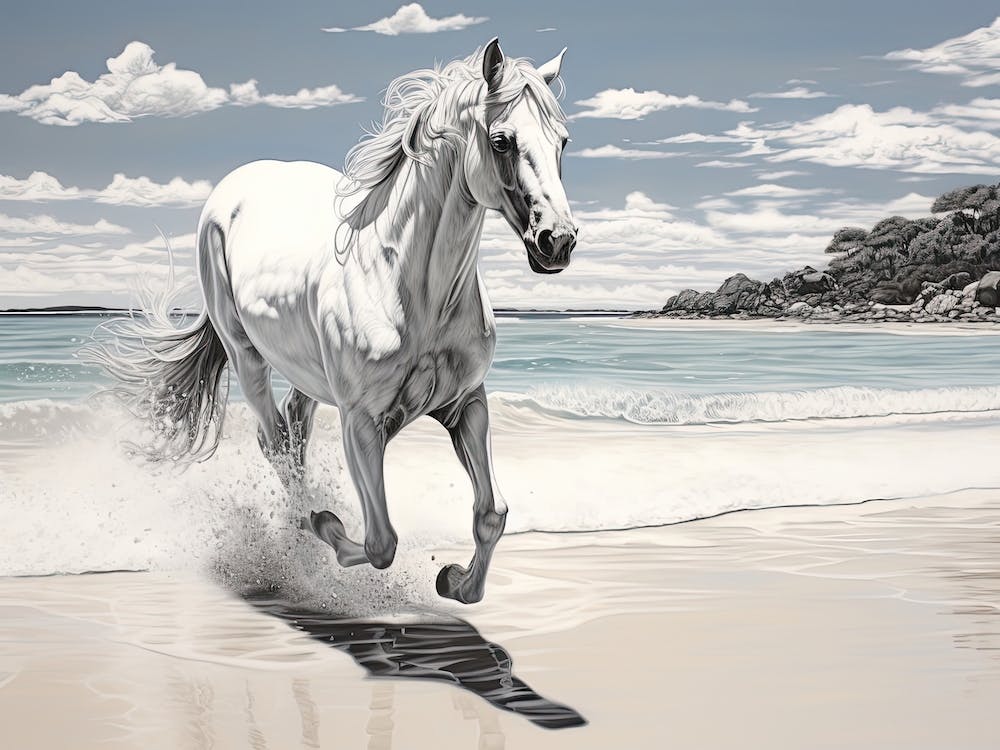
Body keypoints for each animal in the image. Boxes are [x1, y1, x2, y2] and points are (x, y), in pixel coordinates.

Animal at [88, 39, 577, 604]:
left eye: (562, 141)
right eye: (501, 141)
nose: (558, 242)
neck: (411, 290)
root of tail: (234, 186)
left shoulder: (466, 406)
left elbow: (491, 514)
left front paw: (453, 581)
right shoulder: (360, 421)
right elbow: (382, 542)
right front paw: (328, 526)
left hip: (308, 375)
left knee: (293, 431)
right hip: (247, 356)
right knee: (275, 441)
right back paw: (303, 525)